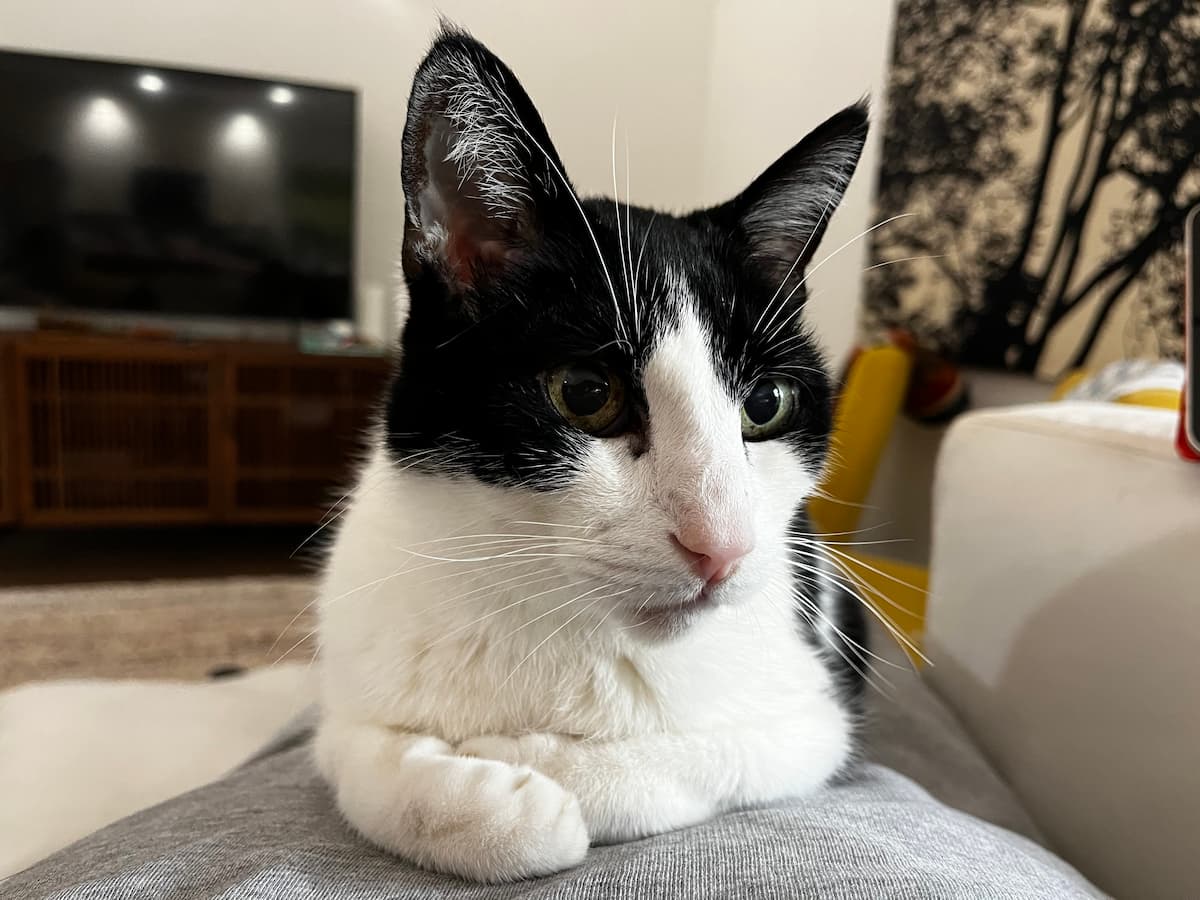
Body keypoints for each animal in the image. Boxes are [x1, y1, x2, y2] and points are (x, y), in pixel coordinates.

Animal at [314, 26, 868, 883]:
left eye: (766, 405)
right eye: (584, 392)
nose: (722, 547)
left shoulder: (811, 717)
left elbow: (700, 756)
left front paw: (532, 766)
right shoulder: (350, 671)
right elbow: (357, 758)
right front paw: (485, 802)